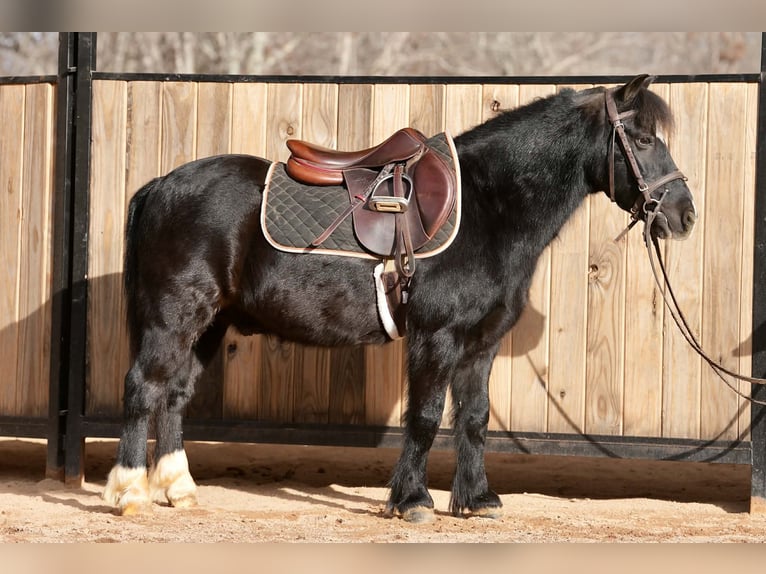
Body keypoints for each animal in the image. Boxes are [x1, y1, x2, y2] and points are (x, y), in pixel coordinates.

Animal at [103, 74, 696, 522]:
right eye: (643, 139)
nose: (684, 214)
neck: (487, 205)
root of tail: (158, 187)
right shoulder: (437, 336)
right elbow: (427, 417)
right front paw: (412, 500)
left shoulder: (480, 344)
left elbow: (474, 416)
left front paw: (477, 500)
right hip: (174, 318)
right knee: (143, 387)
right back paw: (129, 491)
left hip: (208, 325)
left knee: (175, 395)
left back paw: (179, 489)